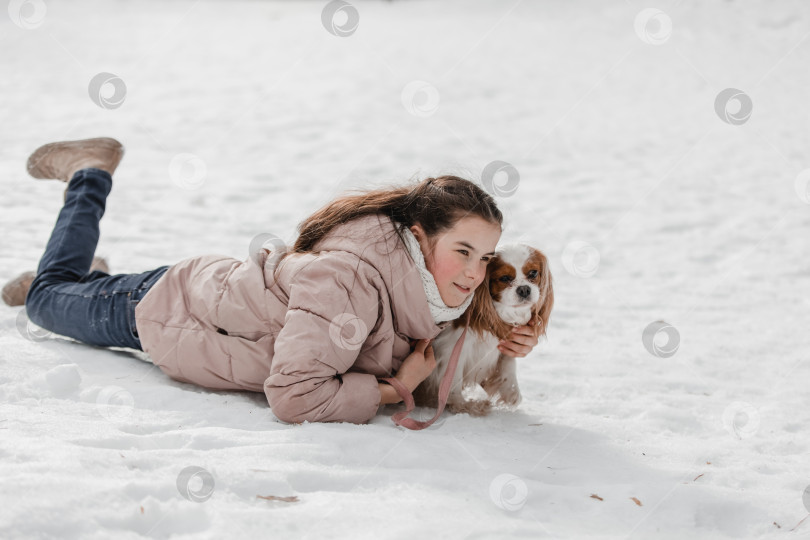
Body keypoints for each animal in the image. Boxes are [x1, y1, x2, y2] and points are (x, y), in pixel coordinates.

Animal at [414, 245, 552, 418]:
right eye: (504, 278)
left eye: (533, 273)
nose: (524, 289)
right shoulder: (451, 347)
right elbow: (453, 377)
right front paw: (461, 405)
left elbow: (508, 361)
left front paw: (511, 390)